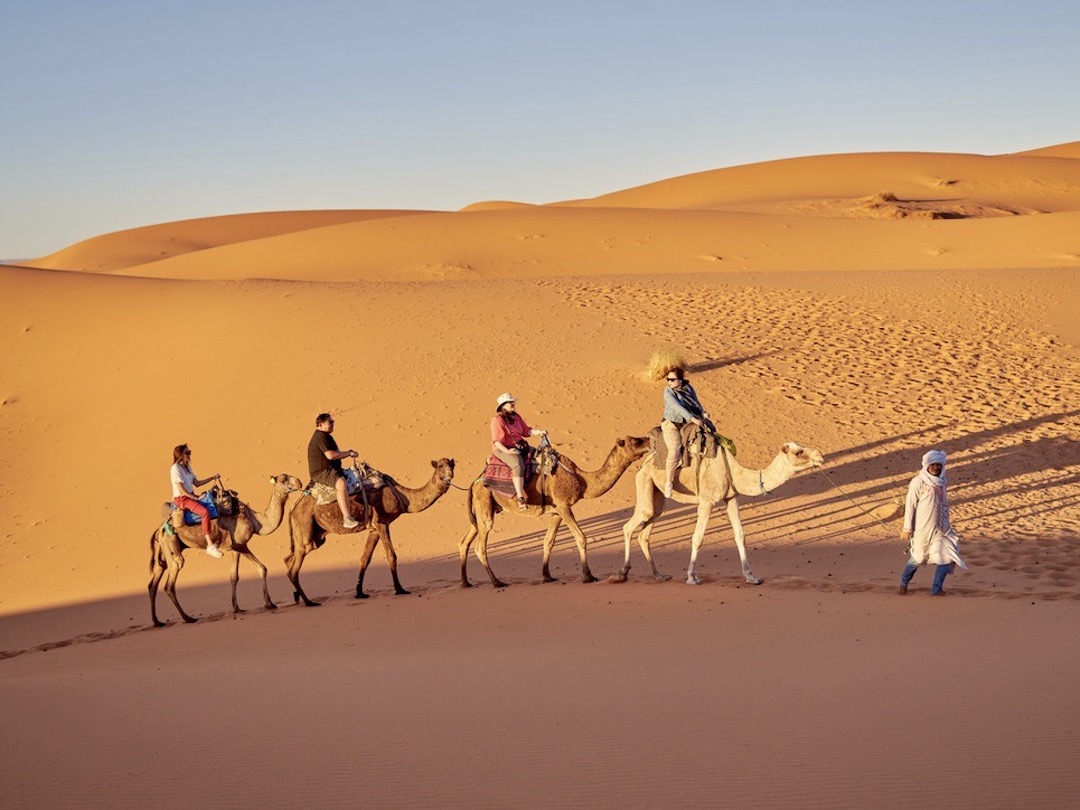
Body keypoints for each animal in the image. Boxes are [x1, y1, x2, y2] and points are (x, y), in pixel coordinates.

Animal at [148, 473, 305, 627]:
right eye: (283, 479)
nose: (299, 482)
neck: (254, 520)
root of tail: (159, 530)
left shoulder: (235, 548)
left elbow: (233, 576)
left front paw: (237, 608)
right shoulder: (241, 545)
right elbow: (262, 568)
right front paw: (269, 603)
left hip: (164, 551)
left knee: (154, 582)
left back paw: (157, 621)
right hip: (171, 544)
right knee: (170, 581)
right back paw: (188, 618)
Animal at [285, 458, 456, 605]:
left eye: (452, 465)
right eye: (440, 467)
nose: (449, 475)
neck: (402, 496)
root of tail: (292, 509)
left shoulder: (373, 528)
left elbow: (365, 558)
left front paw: (359, 592)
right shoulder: (382, 522)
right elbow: (391, 555)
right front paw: (400, 589)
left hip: (314, 535)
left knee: (289, 559)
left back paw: (297, 596)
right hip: (305, 528)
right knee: (294, 567)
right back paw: (308, 602)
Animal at [459, 435, 649, 588]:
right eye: (635, 441)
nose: (649, 439)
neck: (582, 480)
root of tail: (474, 483)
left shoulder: (556, 511)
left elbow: (548, 541)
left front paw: (547, 576)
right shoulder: (564, 506)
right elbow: (581, 538)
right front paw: (588, 576)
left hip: (481, 511)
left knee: (464, 542)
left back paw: (465, 582)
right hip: (485, 504)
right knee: (480, 547)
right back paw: (497, 582)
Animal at [618, 441, 824, 585]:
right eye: (798, 452)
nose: (820, 456)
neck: (733, 471)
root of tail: (644, 463)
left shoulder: (731, 498)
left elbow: (740, 535)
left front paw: (752, 577)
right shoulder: (707, 501)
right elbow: (698, 538)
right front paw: (692, 577)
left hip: (657, 496)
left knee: (645, 531)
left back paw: (659, 576)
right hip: (645, 482)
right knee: (631, 525)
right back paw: (623, 573)